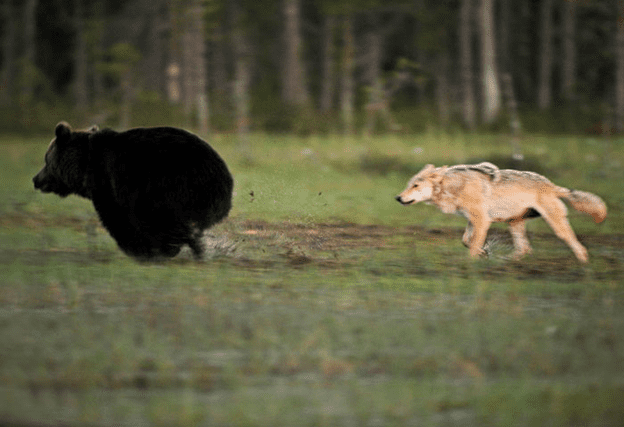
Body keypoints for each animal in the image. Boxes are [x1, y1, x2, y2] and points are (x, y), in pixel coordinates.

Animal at [33, 121, 234, 260]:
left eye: (46, 160)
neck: (84, 166)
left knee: (163, 220)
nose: (36, 179)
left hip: (170, 186)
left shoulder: (110, 182)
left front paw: (139, 250)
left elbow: (118, 218)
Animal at [398, 162, 608, 262]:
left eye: (416, 185)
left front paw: (470, 266)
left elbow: (471, 247)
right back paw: (504, 262)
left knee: (579, 247)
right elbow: (466, 241)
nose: (398, 198)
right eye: (408, 185)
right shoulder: (473, 220)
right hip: (513, 223)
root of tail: (553, 185)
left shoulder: (482, 220)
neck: (453, 187)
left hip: (555, 226)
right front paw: (484, 253)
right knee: (525, 249)